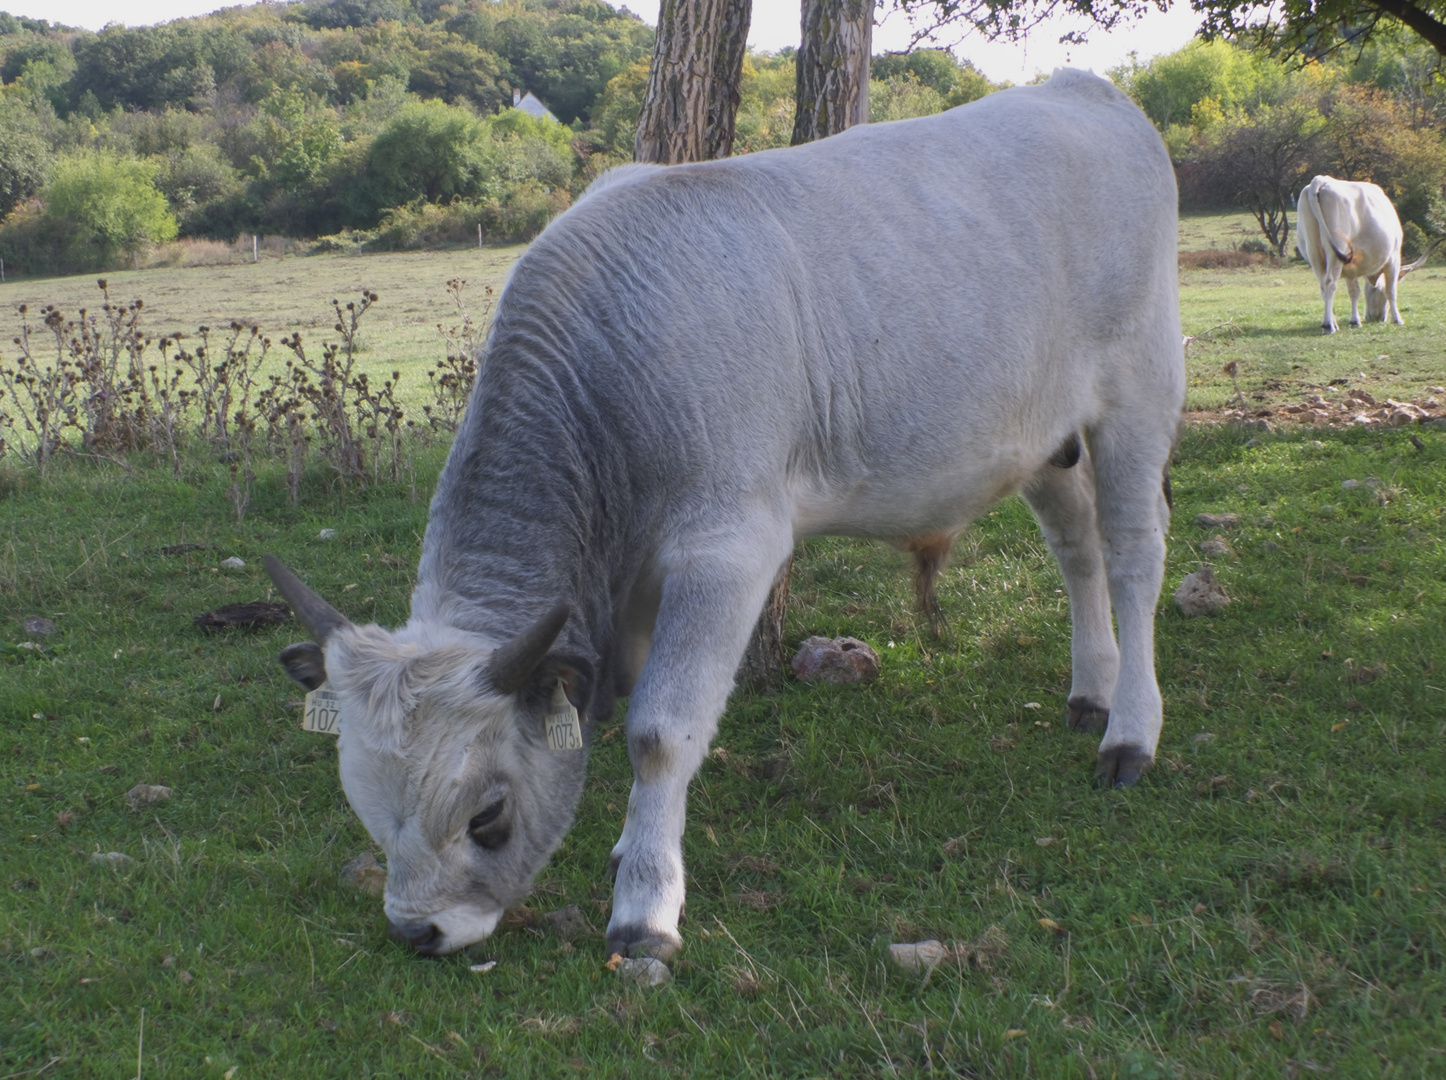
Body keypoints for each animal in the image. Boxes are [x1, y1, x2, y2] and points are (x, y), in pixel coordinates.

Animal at [268, 67, 1185, 965]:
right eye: (367, 811)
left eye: (487, 816)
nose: (417, 932)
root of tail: (1084, 88)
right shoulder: (634, 580)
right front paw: (632, 850)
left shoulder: (728, 549)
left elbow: (661, 729)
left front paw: (644, 909)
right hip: (1041, 438)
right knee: (1077, 549)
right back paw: (1091, 690)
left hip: (1140, 392)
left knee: (1133, 555)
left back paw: (1130, 734)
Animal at [1295, 175, 1428, 333]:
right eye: (1377, 291)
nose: (1375, 318)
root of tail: (1321, 180)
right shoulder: (1393, 258)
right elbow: (1391, 290)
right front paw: (1397, 319)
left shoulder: (1351, 268)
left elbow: (1354, 292)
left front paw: (1355, 321)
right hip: (1336, 251)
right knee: (1330, 283)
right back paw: (1328, 325)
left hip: (1314, 252)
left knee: (1322, 286)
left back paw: (1333, 323)